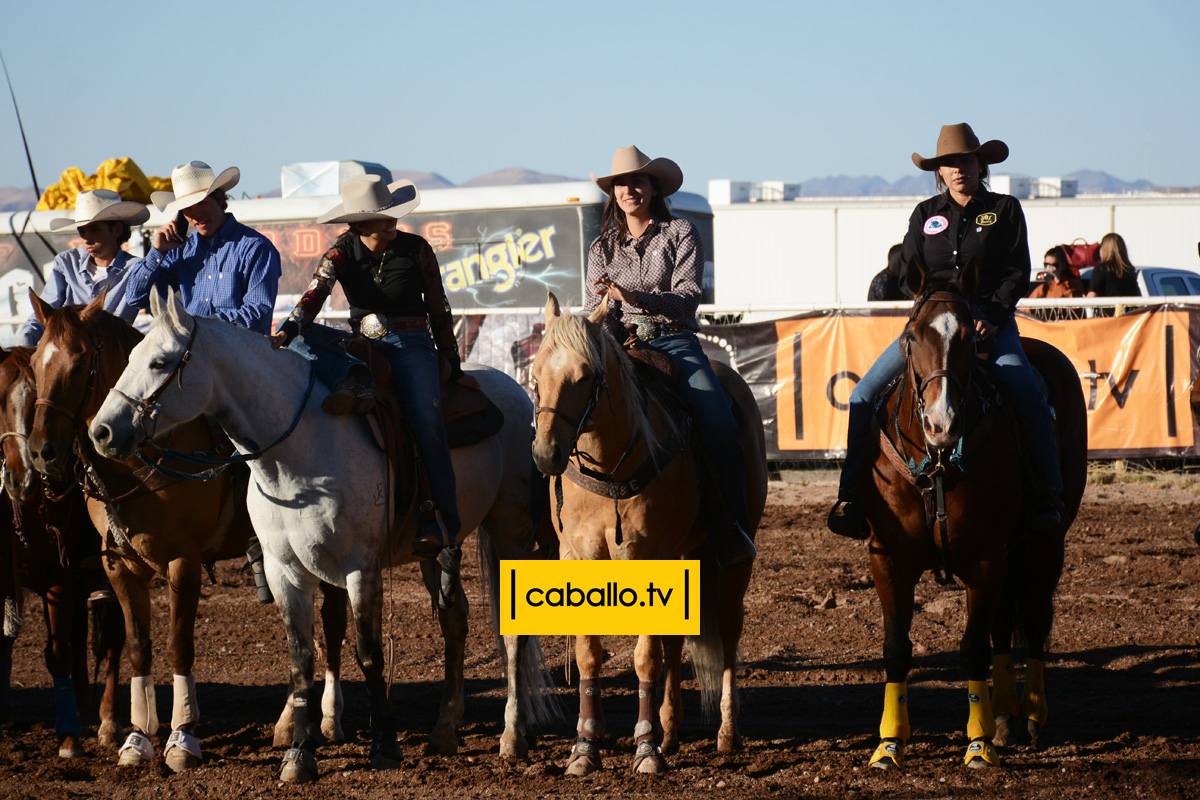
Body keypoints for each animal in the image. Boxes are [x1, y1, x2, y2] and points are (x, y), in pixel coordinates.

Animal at [0, 346, 125, 756]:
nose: (22, 474)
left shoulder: (60, 578)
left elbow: (58, 655)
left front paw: (69, 737)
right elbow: (6, 642)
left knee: (112, 638)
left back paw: (105, 722)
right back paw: (84, 710)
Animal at [86, 289, 555, 783]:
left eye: (160, 361)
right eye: (130, 356)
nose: (101, 431)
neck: (297, 452)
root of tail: (514, 390)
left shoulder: (359, 569)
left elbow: (368, 653)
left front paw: (384, 744)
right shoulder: (284, 571)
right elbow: (301, 660)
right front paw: (300, 752)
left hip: (510, 534)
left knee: (512, 633)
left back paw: (512, 736)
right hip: (437, 548)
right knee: (454, 620)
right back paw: (445, 729)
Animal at [530, 293, 768, 775]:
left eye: (586, 375)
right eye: (537, 371)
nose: (546, 454)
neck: (610, 464)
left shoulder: (645, 556)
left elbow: (645, 656)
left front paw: (644, 748)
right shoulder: (580, 557)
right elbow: (589, 653)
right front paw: (585, 746)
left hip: (735, 554)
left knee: (728, 627)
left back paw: (726, 734)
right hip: (682, 554)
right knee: (676, 635)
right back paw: (671, 732)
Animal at [855, 261, 1086, 769]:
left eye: (966, 336)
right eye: (911, 335)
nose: (942, 424)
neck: (937, 460)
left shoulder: (984, 558)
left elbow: (973, 649)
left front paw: (977, 745)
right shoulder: (888, 558)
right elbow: (896, 649)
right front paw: (889, 744)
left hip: (1044, 542)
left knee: (1033, 620)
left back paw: (1031, 716)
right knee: (1004, 626)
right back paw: (1004, 716)